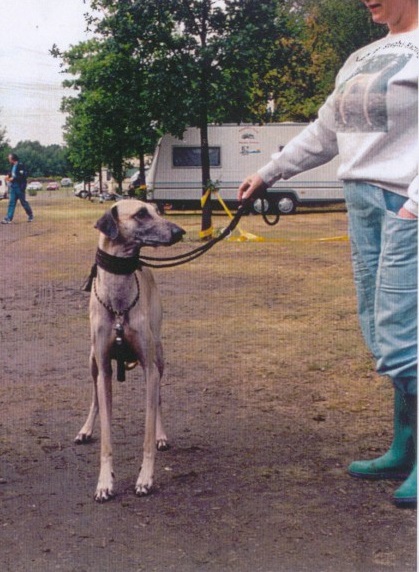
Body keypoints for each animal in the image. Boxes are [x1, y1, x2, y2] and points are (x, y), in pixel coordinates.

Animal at [75, 200, 185, 500]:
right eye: (141, 213)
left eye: (157, 210)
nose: (179, 231)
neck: (118, 304)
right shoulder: (103, 366)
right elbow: (106, 433)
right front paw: (104, 482)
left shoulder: (150, 369)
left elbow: (148, 424)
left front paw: (145, 478)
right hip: (91, 360)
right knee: (94, 395)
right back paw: (86, 429)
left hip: (159, 356)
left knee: (158, 398)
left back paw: (161, 436)